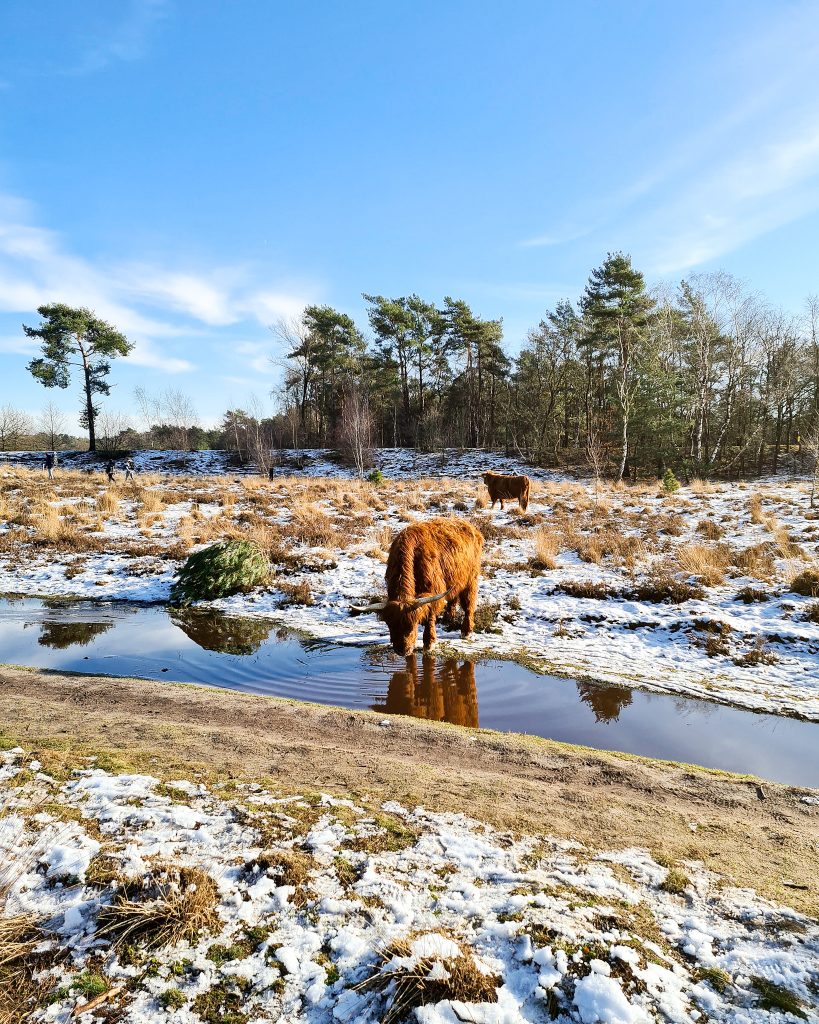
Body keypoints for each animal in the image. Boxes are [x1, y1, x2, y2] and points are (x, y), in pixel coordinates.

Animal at [350, 520, 479, 655]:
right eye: (390, 625)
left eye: (412, 626)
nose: (403, 650)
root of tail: (469, 525)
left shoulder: (433, 589)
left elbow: (430, 615)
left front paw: (429, 643)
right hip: (455, 579)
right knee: (453, 598)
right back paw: (448, 619)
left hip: (471, 579)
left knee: (468, 605)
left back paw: (466, 631)